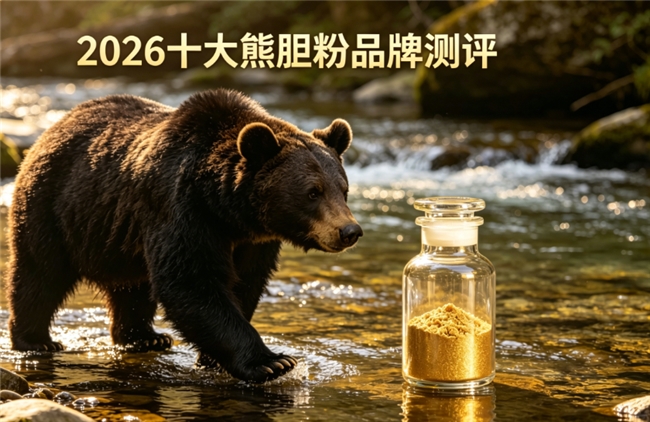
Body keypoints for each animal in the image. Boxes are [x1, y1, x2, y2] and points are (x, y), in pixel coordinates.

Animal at [5, 89, 363, 383]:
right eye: (312, 192)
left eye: (343, 189)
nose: (350, 231)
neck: (227, 209)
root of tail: (53, 128)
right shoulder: (181, 208)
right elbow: (191, 281)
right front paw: (272, 362)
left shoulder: (253, 242)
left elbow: (245, 284)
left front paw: (214, 358)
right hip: (53, 206)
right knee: (39, 273)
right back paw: (36, 340)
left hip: (117, 238)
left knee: (132, 286)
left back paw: (144, 337)